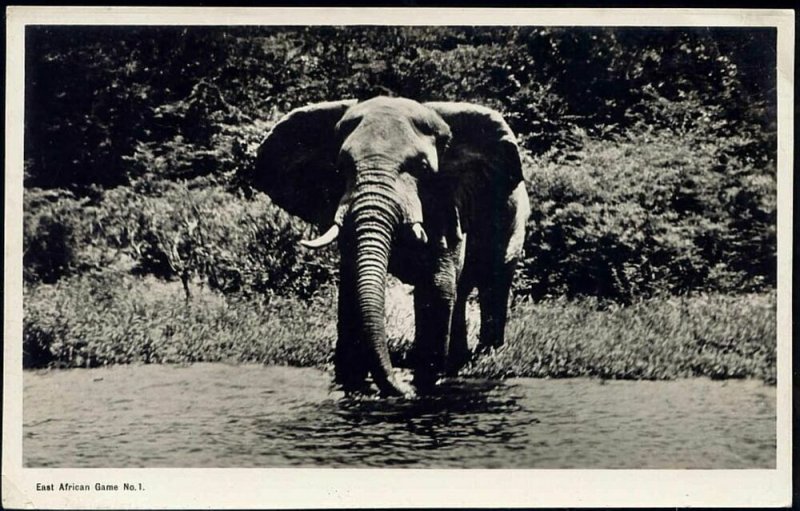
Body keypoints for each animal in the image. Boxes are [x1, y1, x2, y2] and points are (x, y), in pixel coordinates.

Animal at [247, 97, 528, 400]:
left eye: (423, 168)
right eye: (341, 167)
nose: (401, 388)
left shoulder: (447, 200)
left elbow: (436, 285)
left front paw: (423, 388)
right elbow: (351, 289)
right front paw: (354, 388)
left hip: (514, 222)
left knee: (493, 285)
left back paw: (486, 360)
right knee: (462, 292)